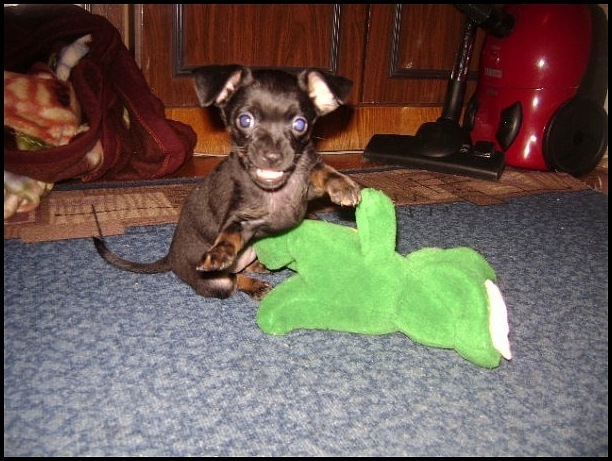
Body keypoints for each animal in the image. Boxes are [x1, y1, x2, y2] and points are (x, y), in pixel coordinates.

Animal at [93, 64, 361, 300]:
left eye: (300, 124)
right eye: (245, 120)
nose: (272, 157)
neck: (274, 191)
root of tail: (170, 258)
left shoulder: (305, 184)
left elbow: (321, 170)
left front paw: (343, 185)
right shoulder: (241, 218)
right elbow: (229, 234)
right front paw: (219, 252)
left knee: (243, 268)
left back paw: (262, 268)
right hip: (217, 282)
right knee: (232, 279)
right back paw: (254, 285)